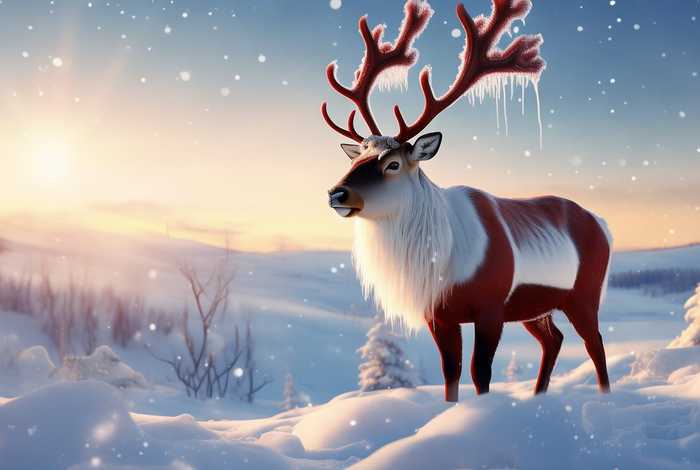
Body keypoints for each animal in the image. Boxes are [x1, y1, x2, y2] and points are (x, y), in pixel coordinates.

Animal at [323, 0, 613, 402]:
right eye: (355, 159)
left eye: (392, 163)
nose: (337, 193)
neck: (442, 263)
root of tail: (603, 224)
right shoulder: (439, 314)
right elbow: (451, 373)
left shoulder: (490, 306)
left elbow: (480, 373)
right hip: (535, 306)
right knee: (553, 340)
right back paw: (538, 397)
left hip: (582, 293)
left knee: (594, 342)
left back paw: (604, 397)